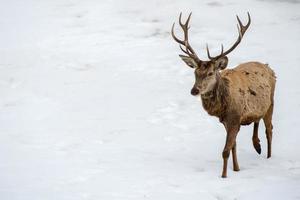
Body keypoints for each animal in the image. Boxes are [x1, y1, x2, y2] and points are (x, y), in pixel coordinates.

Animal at [171, 12, 276, 177]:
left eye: (210, 73)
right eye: (195, 72)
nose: (194, 90)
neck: (223, 106)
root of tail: (269, 67)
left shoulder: (234, 117)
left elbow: (225, 151)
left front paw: (224, 175)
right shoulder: (227, 121)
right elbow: (233, 145)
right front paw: (237, 168)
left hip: (271, 102)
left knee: (269, 130)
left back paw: (268, 157)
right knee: (257, 120)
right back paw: (257, 145)